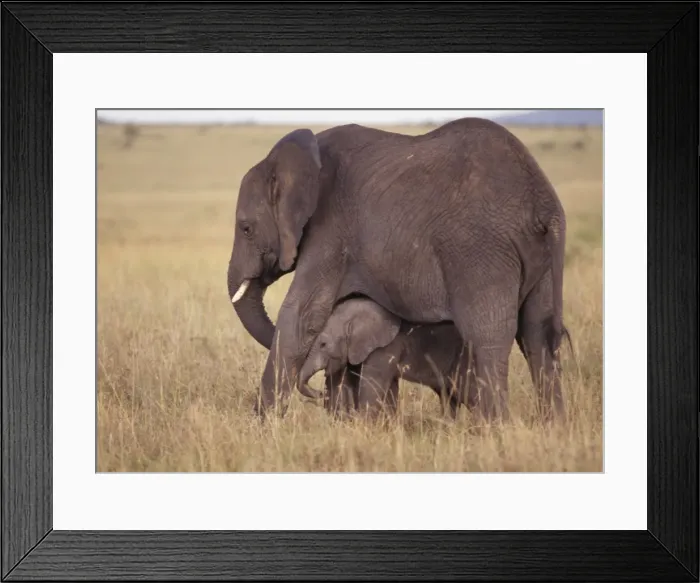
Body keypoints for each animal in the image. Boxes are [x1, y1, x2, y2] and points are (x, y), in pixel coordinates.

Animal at [296, 296, 467, 421]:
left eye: (323, 344)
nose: (320, 393)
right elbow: (390, 388)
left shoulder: (385, 347)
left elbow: (373, 385)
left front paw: (363, 425)